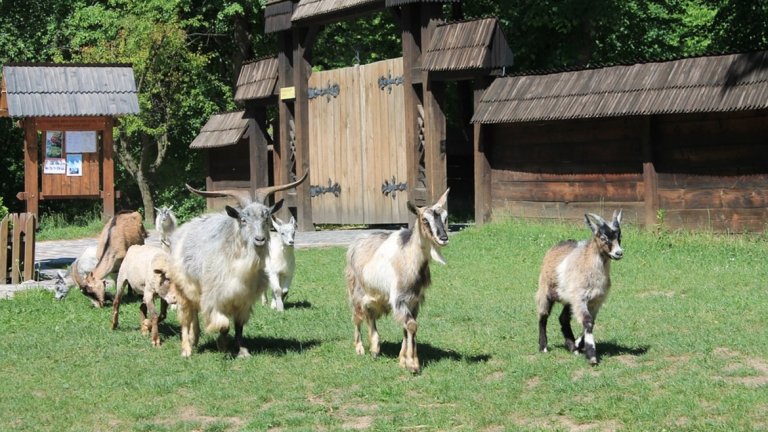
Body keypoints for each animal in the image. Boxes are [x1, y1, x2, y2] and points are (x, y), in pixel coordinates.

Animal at [170, 172, 306, 358]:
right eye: (243, 220)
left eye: (266, 218)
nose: (259, 239)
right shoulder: (215, 297)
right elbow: (224, 324)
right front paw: (223, 345)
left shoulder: (244, 300)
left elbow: (239, 327)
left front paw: (242, 351)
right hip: (182, 288)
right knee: (185, 318)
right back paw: (186, 349)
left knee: (194, 315)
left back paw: (195, 339)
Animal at [344, 187, 448, 372]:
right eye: (424, 220)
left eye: (445, 217)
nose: (443, 238)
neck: (409, 258)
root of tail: (357, 241)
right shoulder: (399, 299)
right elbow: (412, 325)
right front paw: (413, 364)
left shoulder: (414, 300)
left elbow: (408, 327)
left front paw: (403, 360)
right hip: (355, 289)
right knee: (357, 316)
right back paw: (360, 348)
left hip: (375, 294)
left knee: (369, 314)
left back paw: (375, 348)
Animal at [536, 209, 624, 364]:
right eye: (603, 237)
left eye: (620, 236)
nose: (618, 253)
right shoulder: (580, 298)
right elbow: (587, 321)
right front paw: (592, 356)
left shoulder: (595, 301)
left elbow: (591, 322)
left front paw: (578, 344)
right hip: (545, 289)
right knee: (543, 315)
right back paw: (544, 347)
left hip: (568, 298)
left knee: (563, 318)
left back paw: (572, 346)